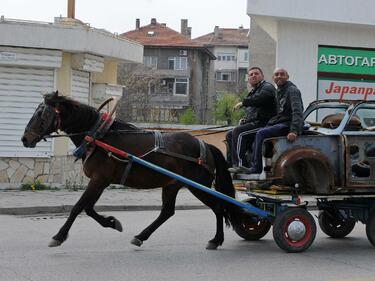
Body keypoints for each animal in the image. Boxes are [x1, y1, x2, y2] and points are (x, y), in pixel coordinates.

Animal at [21, 91, 238, 248]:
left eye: (42, 114)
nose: (25, 139)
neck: (99, 136)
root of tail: (204, 145)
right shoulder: (101, 182)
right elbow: (88, 208)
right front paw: (111, 222)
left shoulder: (99, 180)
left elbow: (78, 207)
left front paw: (59, 236)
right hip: (172, 185)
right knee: (167, 212)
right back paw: (141, 236)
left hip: (198, 185)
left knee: (218, 207)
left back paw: (216, 240)